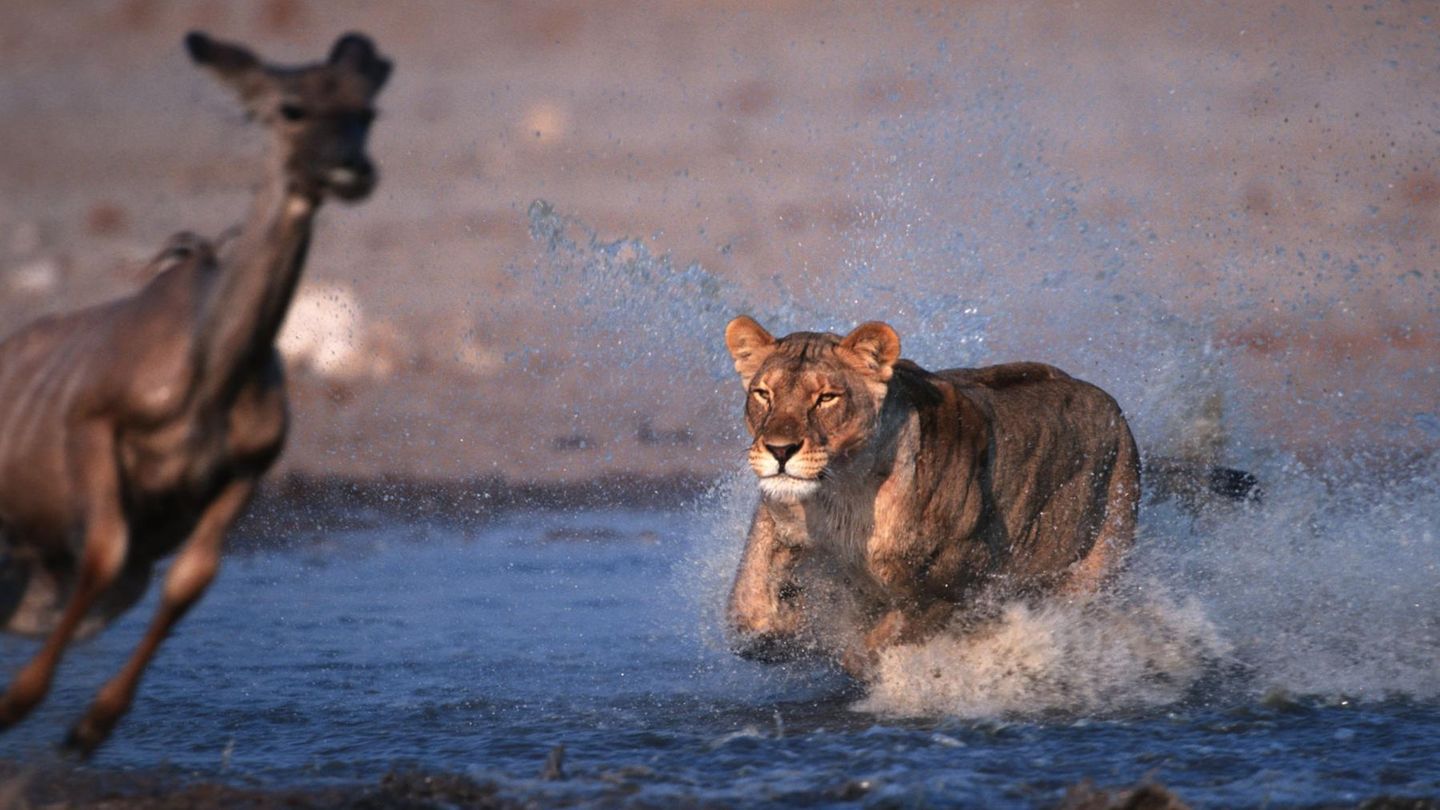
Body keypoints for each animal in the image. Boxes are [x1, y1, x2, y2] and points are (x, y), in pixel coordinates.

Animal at [722, 315, 1141, 675]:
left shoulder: (955, 582)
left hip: (1092, 569)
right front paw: (783, 626)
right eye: (763, 394)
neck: (841, 493)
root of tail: (1113, 408)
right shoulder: (781, 519)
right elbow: (749, 608)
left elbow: (877, 642)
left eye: (827, 398)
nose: (779, 450)